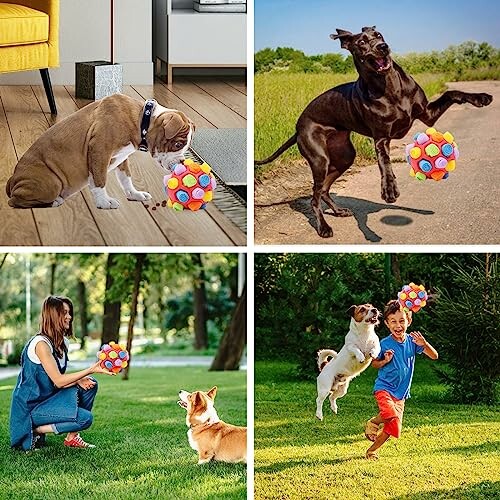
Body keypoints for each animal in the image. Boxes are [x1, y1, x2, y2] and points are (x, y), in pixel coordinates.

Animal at [5, 93, 193, 208]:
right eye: (177, 144)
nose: (182, 162)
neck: (143, 119)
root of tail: (13, 179)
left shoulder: (122, 158)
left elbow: (126, 178)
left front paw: (134, 194)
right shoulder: (99, 150)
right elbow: (99, 180)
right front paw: (104, 202)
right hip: (52, 183)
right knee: (14, 200)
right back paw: (54, 202)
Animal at [256, 26, 494, 238]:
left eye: (379, 34)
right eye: (362, 42)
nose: (383, 47)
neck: (389, 85)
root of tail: (298, 127)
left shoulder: (428, 115)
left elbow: (452, 93)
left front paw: (481, 97)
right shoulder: (381, 138)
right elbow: (385, 163)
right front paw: (389, 189)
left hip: (345, 156)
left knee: (323, 190)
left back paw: (338, 211)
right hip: (319, 159)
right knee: (314, 197)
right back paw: (323, 227)